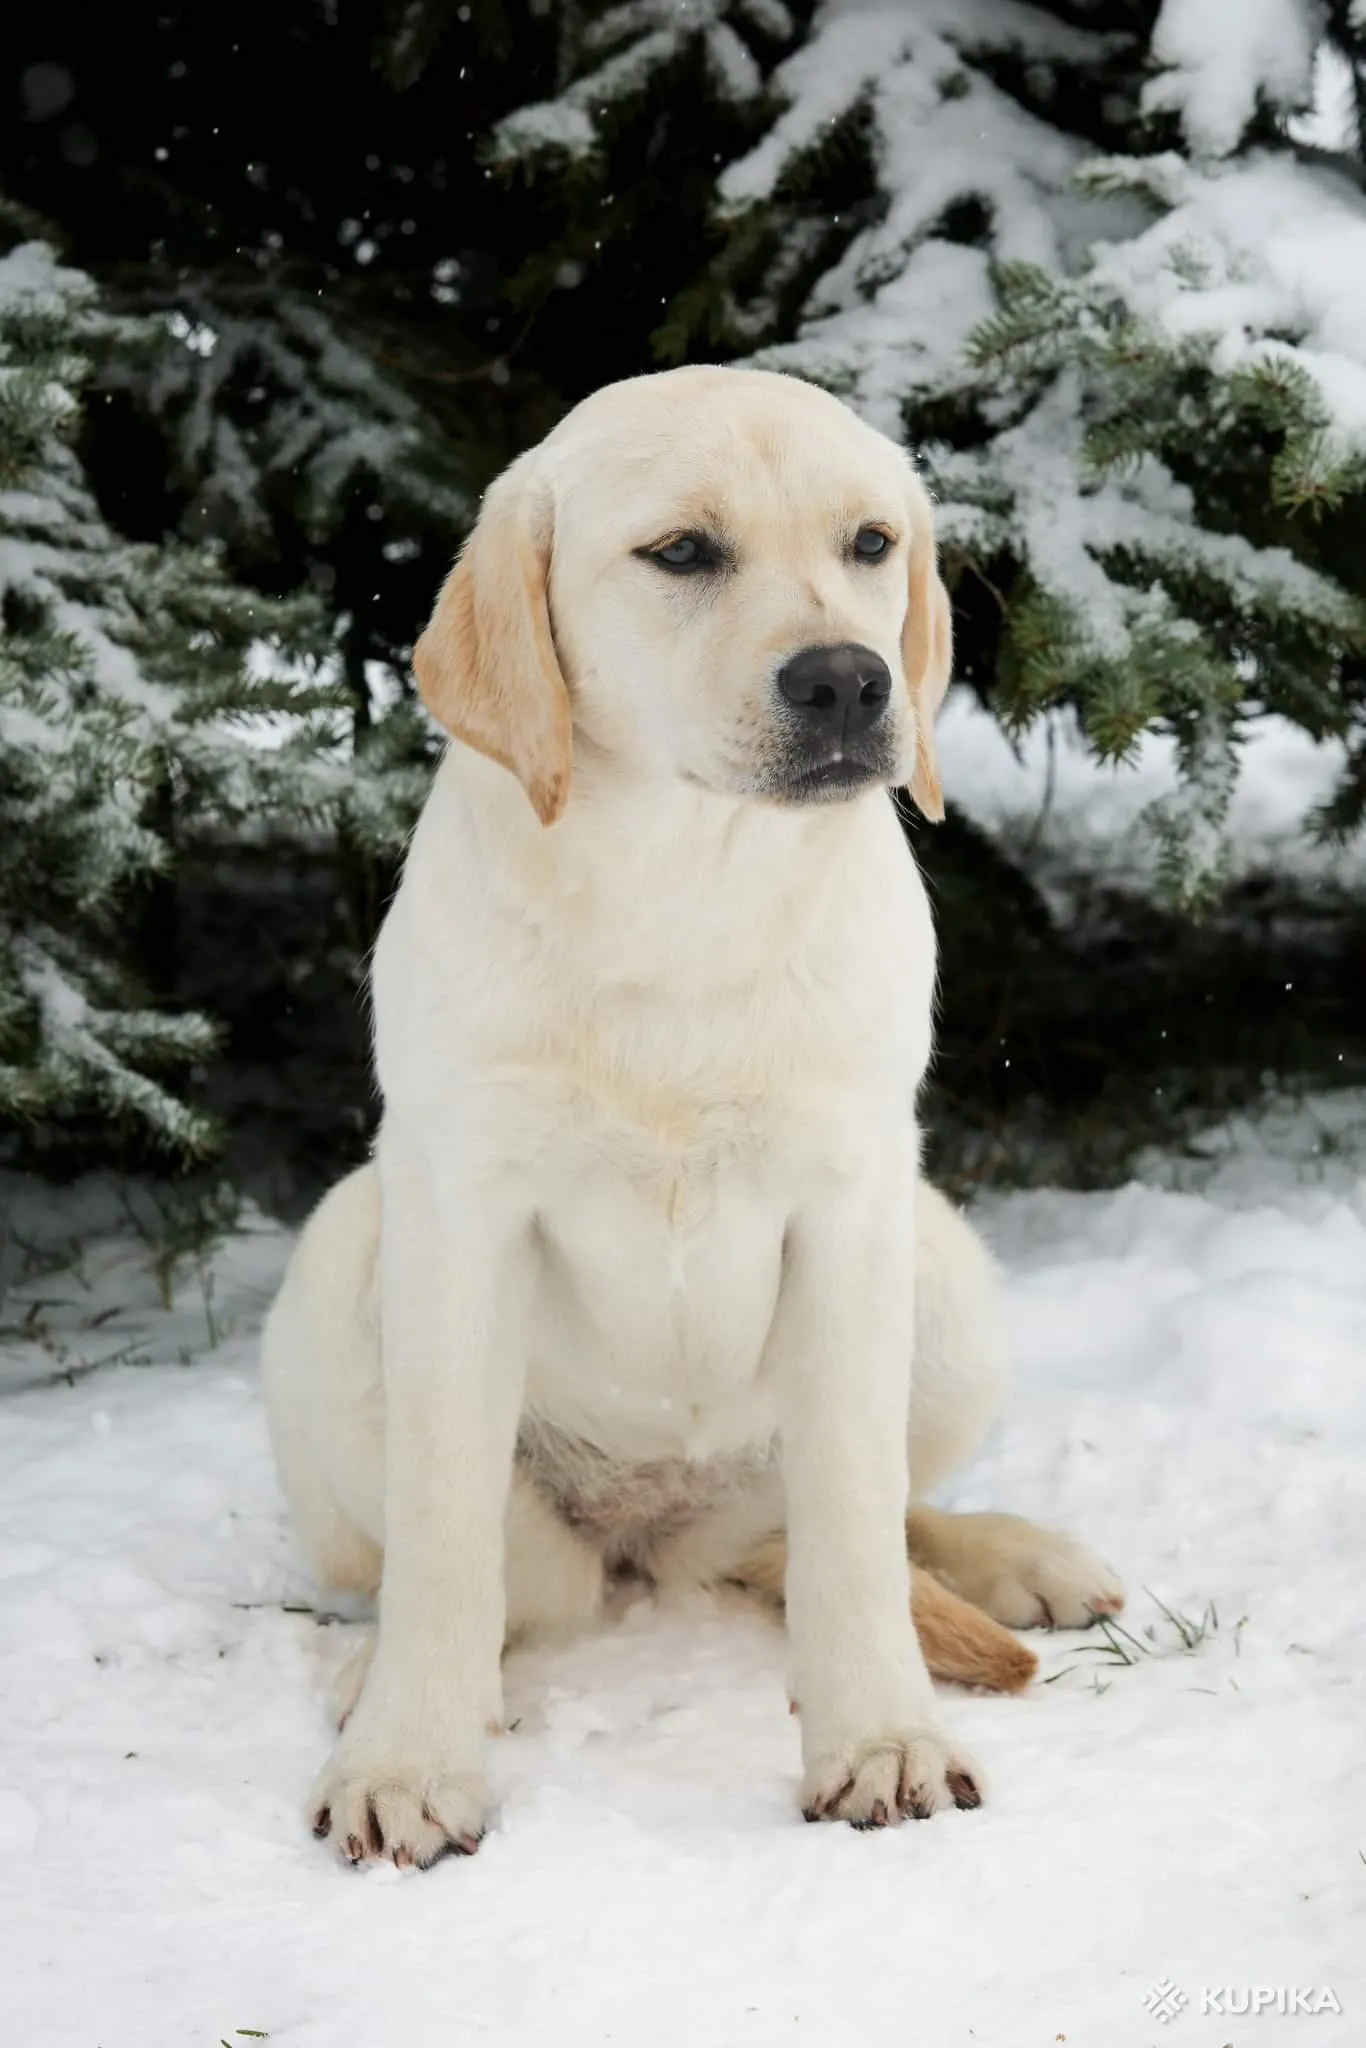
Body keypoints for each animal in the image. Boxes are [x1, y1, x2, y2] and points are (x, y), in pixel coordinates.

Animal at [259, 360, 1122, 1867]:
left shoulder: (849, 1202)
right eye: (680, 553)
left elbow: (852, 1527)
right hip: (342, 1258)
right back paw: (390, 1673)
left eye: (870, 544)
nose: (848, 678)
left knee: (861, 1517)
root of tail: (655, 1531)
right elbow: (448, 1538)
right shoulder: (460, 1205)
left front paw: (879, 1739)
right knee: (520, 1581)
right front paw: (407, 1758)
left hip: (942, 1268)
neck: (684, 879)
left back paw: (1019, 1557)